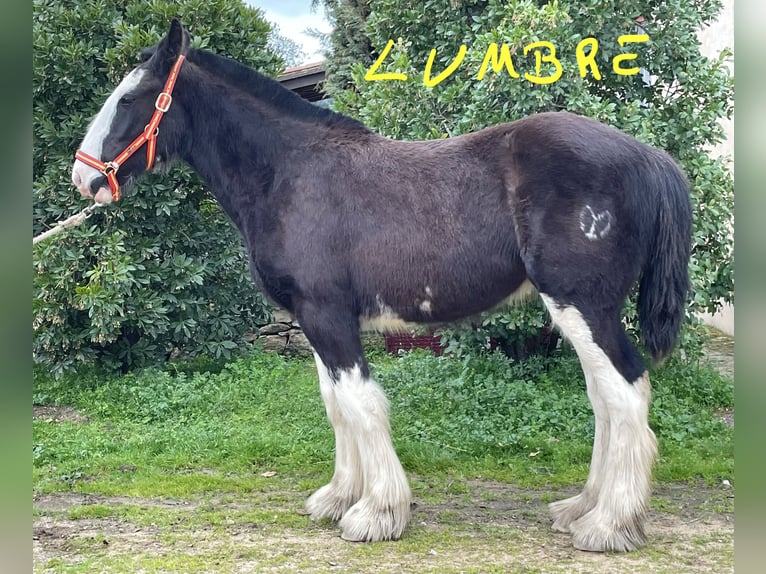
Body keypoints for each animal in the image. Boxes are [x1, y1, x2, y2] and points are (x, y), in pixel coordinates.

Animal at [71, 20, 692, 552]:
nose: (83, 177)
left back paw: (609, 524)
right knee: (605, 398)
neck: (290, 173)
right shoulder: (316, 320)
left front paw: (376, 514)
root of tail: (649, 157)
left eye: (129, 99)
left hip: (583, 306)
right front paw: (338, 498)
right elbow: (336, 405)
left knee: (624, 392)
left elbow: (362, 403)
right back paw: (581, 508)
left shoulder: (327, 315)